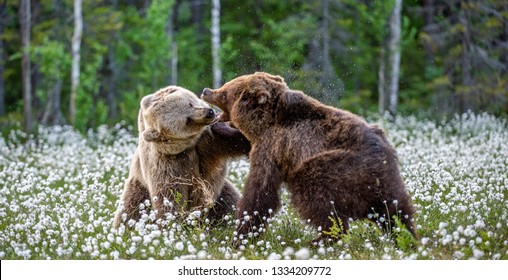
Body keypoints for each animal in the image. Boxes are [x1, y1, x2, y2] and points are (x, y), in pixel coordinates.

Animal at [114, 85, 251, 228]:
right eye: (187, 120)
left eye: (190, 104)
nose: (209, 112)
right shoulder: (168, 165)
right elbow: (170, 197)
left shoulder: (207, 142)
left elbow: (236, 141)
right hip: (139, 190)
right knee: (130, 213)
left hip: (220, 193)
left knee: (229, 204)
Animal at [201, 71, 416, 243]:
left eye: (225, 92)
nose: (206, 90)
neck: (265, 125)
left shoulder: (273, 148)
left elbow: (260, 192)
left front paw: (240, 236)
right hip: (388, 182)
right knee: (396, 213)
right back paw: (407, 238)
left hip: (336, 167)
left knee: (316, 194)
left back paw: (322, 239)